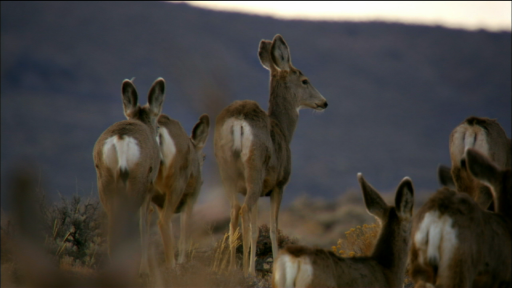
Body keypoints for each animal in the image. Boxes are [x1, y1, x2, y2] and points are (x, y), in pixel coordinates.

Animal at [92, 77, 164, 276]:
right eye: (157, 127)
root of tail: (121, 139)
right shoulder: (149, 189)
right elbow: (144, 225)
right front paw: (145, 270)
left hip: (105, 181)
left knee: (112, 226)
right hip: (137, 182)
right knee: (130, 224)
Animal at [150, 112, 210, 268]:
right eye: (204, 157)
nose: (202, 182)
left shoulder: (159, 202)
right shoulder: (191, 199)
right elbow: (185, 233)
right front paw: (182, 262)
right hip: (176, 185)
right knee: (163, 222)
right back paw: (172, 266)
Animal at [213, 34, 328, 276]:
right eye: (305, 80)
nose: (324, 102)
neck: (283, 129)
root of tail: (238, 122)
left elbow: (257, 226)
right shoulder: (279, 184)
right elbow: (273, 228)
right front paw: (274, 264)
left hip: (226, 171)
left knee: (234, 211)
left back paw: (231, 267)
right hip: (255, 168)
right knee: (244, 210)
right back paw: (246, 271)